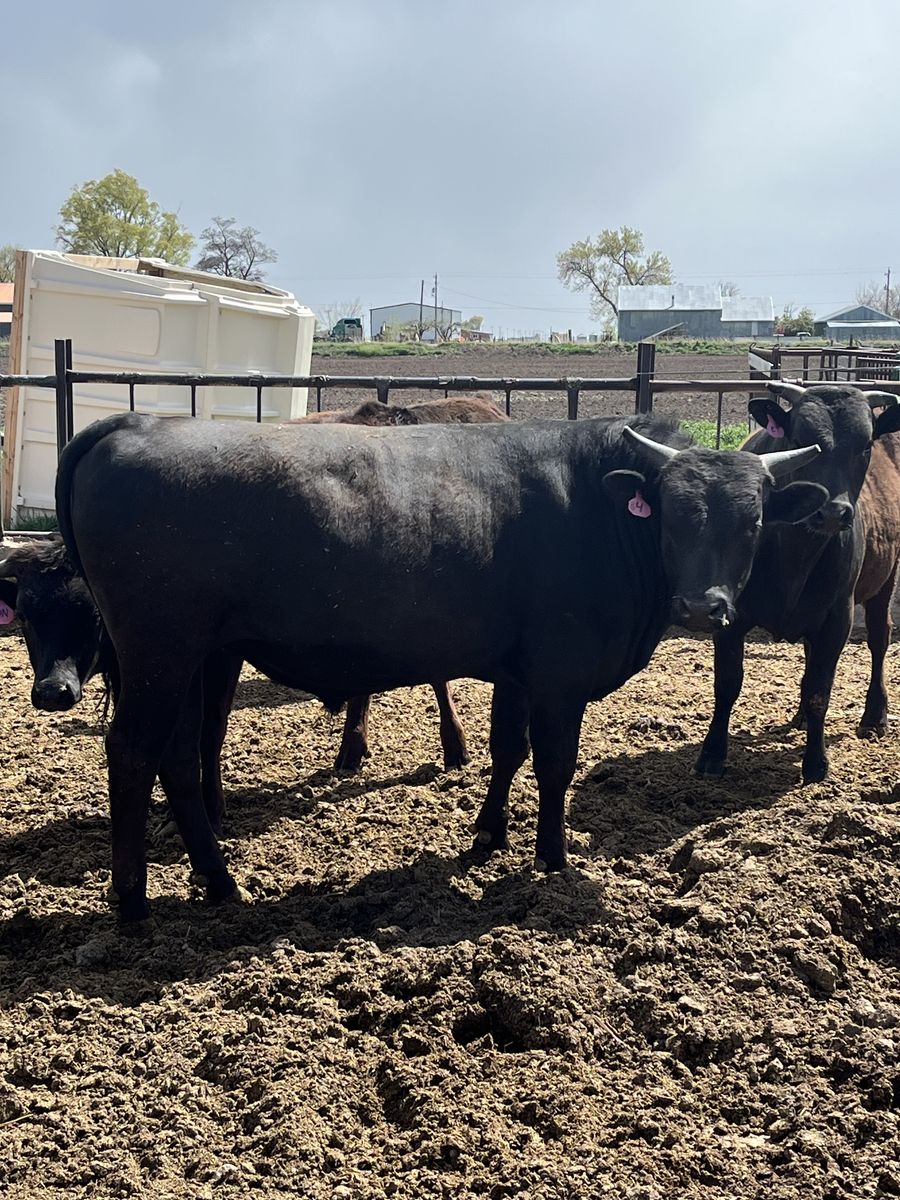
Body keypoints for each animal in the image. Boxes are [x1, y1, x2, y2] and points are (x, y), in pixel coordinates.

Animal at [55, 410, 824, 921]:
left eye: (754, 521)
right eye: (672, 513)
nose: (703, 607)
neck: (594, 509)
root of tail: (135, 423)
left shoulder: (517, 670)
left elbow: (508, 750)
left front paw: (487, 836)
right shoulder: (560, 674)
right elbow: (555, 765)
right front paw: (552, 857)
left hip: (191, 657)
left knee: (178, 759)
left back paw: (220, 883)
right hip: (159, 652)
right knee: (133, 753)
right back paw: (132, 900)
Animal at [694, 381, 900, 784]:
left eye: (864, 444)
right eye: (802, 440)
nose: (832, 512)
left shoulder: (838, 617)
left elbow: (822, 689)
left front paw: (816, 762)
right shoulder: (730, 617)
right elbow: (727, 684)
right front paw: (711, 754)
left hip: (886, 578)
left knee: (879, 639)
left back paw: (874, 715)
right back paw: (803, 714)